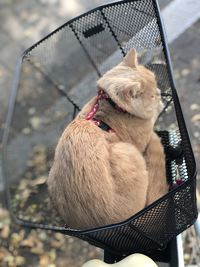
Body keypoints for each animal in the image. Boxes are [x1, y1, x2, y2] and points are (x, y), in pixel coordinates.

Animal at [47, 49, 169, 230]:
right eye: (152, 95)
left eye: (155, 83)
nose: (160, 92)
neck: (110, 107)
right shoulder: (143, 137)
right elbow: (152, 117)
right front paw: (159, 106)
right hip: (128, 151)